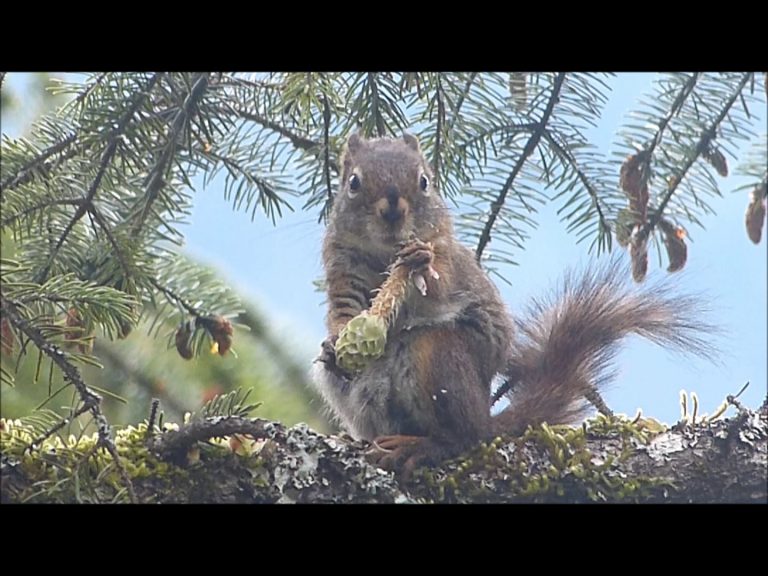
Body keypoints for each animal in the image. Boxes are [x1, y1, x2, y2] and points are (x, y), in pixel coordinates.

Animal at [311, 132, 713, 476]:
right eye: (353, 183)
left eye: (424, 181)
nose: (393, 209)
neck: (384, 255)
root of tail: (486, 417)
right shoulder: (342, 268)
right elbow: (344, 311)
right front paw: (337, 342)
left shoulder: (448, 259)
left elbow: (439, 288)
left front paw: (420, 262)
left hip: (440, 356)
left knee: (465, 437)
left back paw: (423, 446)